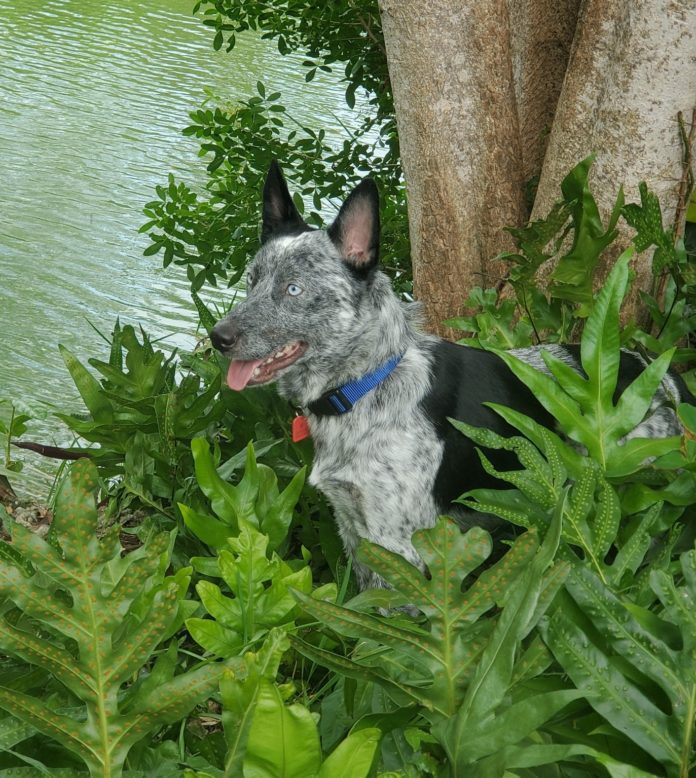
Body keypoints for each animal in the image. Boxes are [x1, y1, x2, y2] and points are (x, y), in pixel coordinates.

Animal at [209, 162, 692, 588]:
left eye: (293, 289)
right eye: (251, 281)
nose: (218, 336)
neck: (368, 382)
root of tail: (656, 372)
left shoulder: (397, 544)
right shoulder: (354, 529)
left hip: (635, 494)